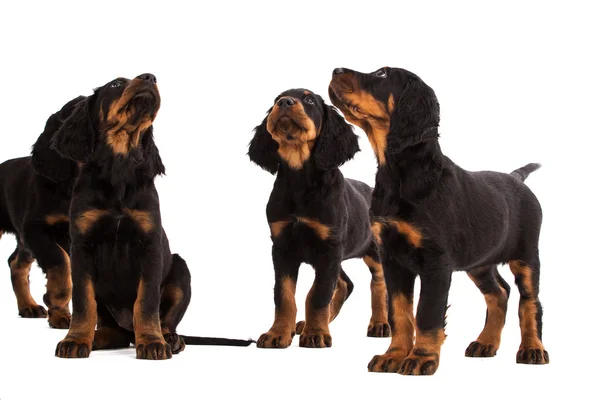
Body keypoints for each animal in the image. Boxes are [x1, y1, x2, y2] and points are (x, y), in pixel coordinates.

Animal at [51, 74, 251, 360]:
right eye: (115, 84)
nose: (150, 77)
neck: (119, 166)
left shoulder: (150, 245)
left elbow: (146, 301)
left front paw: (153, 342)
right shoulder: (81, 247)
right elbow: (83, 300)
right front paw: (75, 339)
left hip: (180, 269)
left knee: (164, 321)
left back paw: (169, 339)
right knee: (115, 331)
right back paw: (97, 337)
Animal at [247, 89, 390, 348]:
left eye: (309, 100)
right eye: (276, 100)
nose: (284, 103)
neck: (300, 181)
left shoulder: (329, 248)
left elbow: (318, 293)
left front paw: (315, 333)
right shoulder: (282, 247)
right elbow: (284, 295)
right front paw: (278, 333)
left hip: (372, 251)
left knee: (378, 283)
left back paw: (380, 323)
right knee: (345, 283)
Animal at [330, 66, 552, 376]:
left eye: (383, 74)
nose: (335, 70)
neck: (401, 174)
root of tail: (516, 178)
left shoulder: (435, 261)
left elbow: (427, 311)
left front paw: (421, 358)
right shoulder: (392, 258)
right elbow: (399, 311)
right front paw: (393, 355)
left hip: (527, 255)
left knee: (530, 302)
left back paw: (532, 349)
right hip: (479, 262)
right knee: (499, 293)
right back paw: (485, 343)